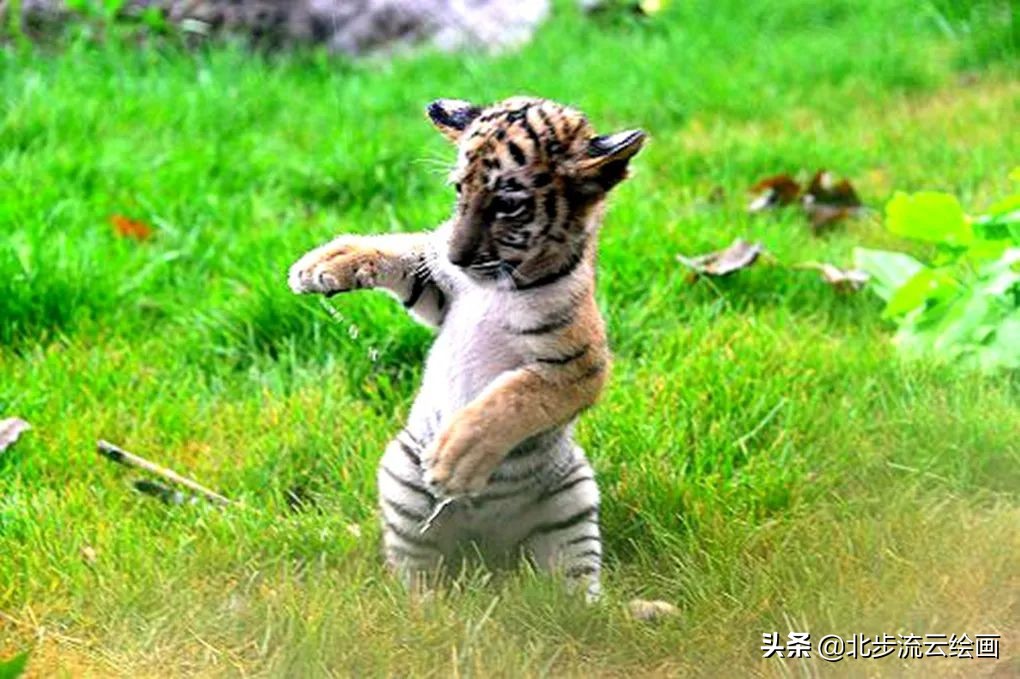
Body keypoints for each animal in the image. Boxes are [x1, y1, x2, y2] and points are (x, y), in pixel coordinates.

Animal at [288, 96, 645, 599]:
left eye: (508, 205)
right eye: (460, 189)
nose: (457, 256)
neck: (498, 285)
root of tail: (487, 548)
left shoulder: (579, 368)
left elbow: (515, 396)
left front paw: (456, 458)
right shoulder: (440, 293)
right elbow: (406, 249)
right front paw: (326, 262)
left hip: (573, 498)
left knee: (574, 592)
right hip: (402, 480)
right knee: (415, 573)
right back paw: (425, 608)